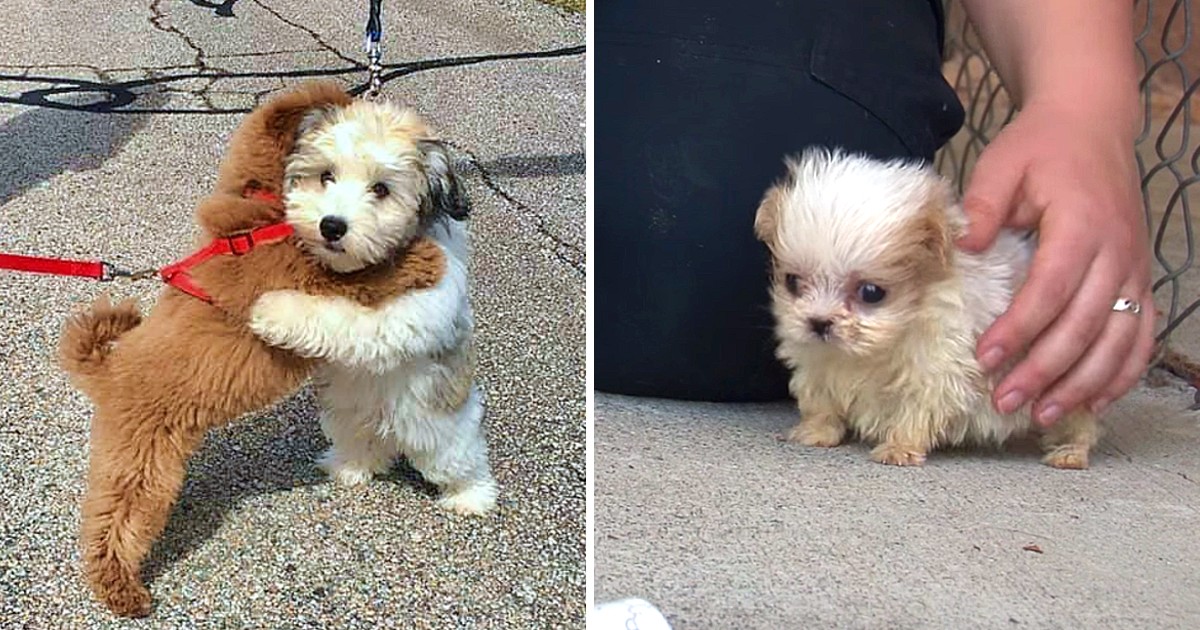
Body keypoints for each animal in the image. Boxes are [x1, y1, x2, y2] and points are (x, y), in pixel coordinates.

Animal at [55, 81, 453, 614]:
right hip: (141, 463)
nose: (331, 225)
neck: (258, 219)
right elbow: (367, 275)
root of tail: (108, 371)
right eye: (328, 174)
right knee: (114, 523)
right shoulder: (311, 274)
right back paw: (121, 589)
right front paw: (422, 258)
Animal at [249, 98, 501, 511]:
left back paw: (471, 496)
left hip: (443, 430)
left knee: (460, 460)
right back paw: (350, 467)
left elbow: (344, 318)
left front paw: (273, 310)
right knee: (363, 445)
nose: (331, 226)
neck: (372, 266)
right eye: (326, 176)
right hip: (347, 416)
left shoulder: (408, 312)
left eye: (381, 189)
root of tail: (390, 428)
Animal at [753, 148, 1099, 465]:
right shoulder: (817, 361)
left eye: (871, 292)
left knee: (1078, 424)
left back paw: (1070, 452)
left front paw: (899, 447)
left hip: (1062, 388)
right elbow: (820, 399)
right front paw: (817, 431)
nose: (819, 322)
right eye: (792, 282)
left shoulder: (937, 368)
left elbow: (916, 409)